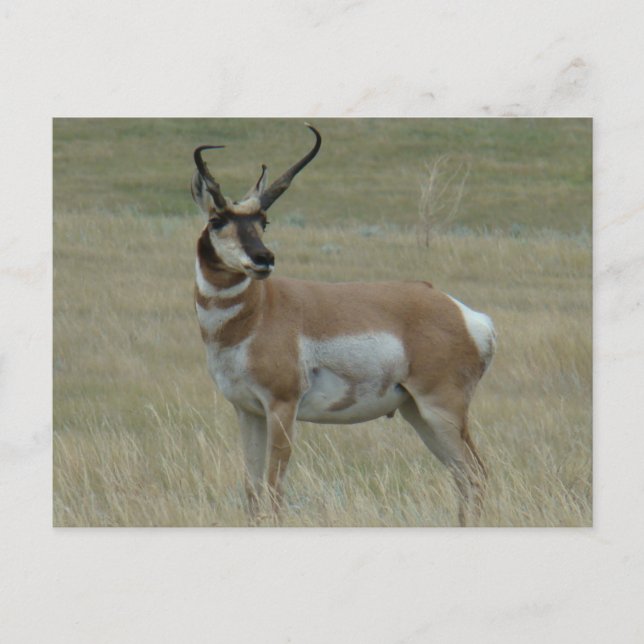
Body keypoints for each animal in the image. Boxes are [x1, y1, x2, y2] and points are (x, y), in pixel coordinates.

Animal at [191, 124, 496, 526]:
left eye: (263, 221)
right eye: (217, 220)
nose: (263, 258)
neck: (258, 313)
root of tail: (465, 315)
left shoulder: (282, 407)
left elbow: (274, 490)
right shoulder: (248, 411)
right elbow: (252, 491)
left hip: (441, 410)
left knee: (476, 474)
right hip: (419, 414)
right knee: (463, 476)